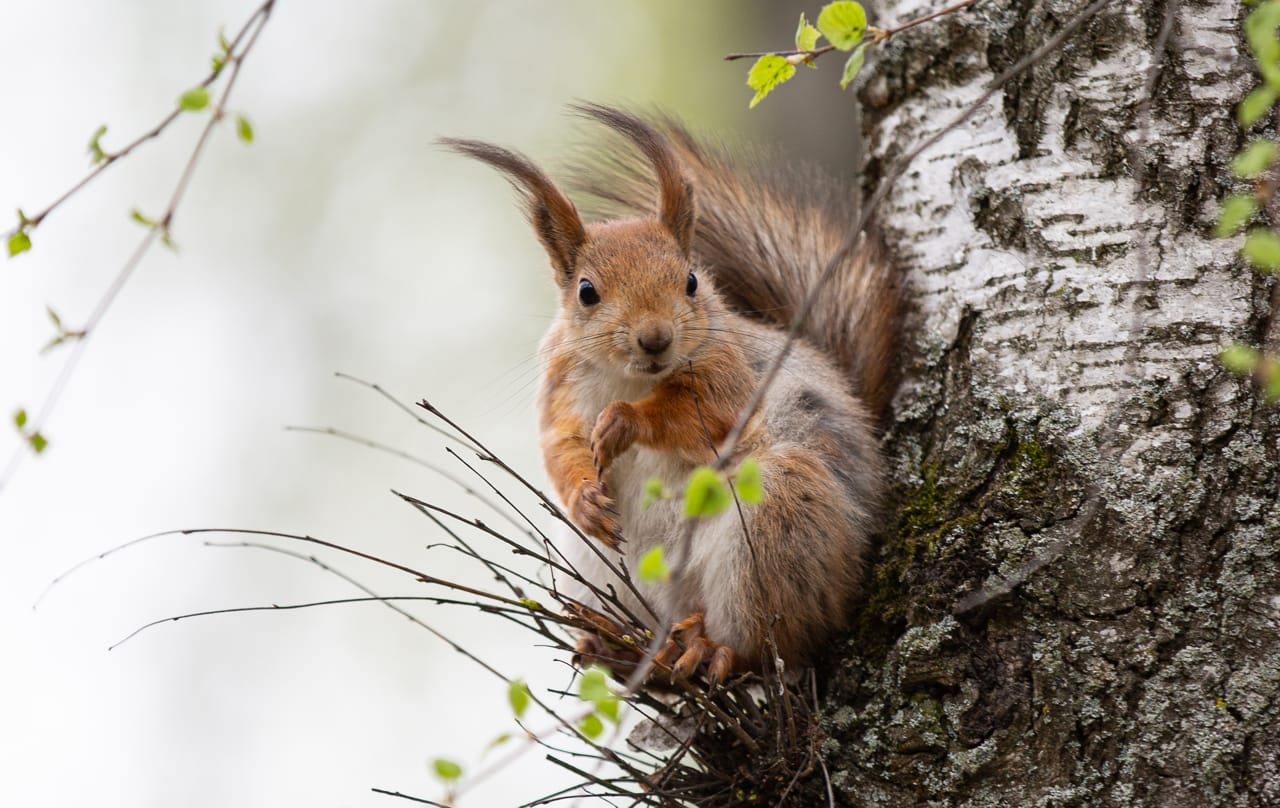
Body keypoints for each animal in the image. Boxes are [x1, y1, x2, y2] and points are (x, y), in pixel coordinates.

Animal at [440, 101, 901, 681]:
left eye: (691, 281)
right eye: (586, 292)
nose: (656, 338)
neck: (631, 377)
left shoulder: (732, 379)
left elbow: (696, 416)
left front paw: (625, 420)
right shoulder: (560, 393)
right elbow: (559, 447)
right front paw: (585, 497)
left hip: (777, 526)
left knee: (763, 644)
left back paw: (709, 648)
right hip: (597, 570)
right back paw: (614, 646)